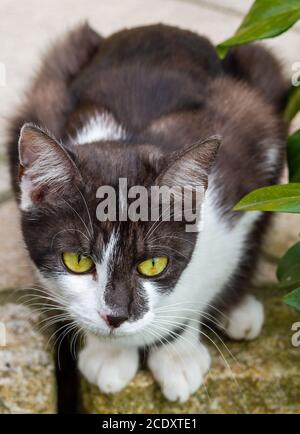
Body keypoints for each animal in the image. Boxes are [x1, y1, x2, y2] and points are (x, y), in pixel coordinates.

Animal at [7, 23, 288, 404]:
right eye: (76, 261)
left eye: (153, 264)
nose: (115, 316)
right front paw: (108, 354)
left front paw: (178, 356)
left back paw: (239, 310)